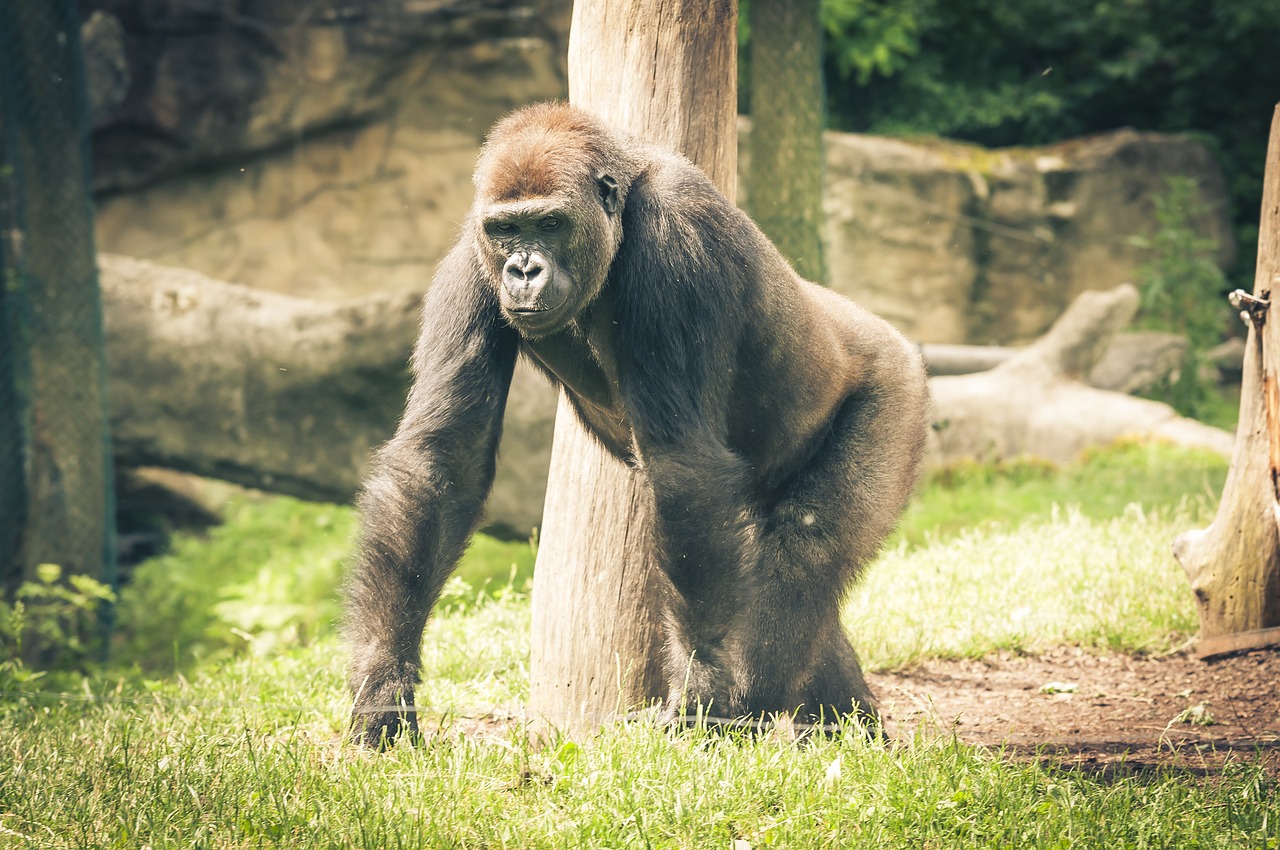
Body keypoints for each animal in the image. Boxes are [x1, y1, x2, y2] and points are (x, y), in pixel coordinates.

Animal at [345, 103, 926, 747]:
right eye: (505, 230)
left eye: (550, 224)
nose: (522, 270)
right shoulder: (469, 260)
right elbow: (443, 458)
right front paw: (383, 682)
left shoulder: (677, 234)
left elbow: (682, 464)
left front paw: (704, 692)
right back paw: (846, 723)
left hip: (895, 391)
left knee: (805, 553)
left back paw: (759, 709)